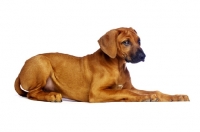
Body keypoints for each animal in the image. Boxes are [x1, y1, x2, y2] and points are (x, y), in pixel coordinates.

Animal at [14, 27, 189, 102]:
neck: (118, 66)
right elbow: (125, 92)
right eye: (126, 42)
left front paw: (175, 96)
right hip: (41, 62)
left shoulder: (129, 87)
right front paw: (144, 97)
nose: (143, 56)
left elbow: (153, 91)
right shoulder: (96, 92)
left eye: (139, 41)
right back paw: (51, 96)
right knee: (31, 93)